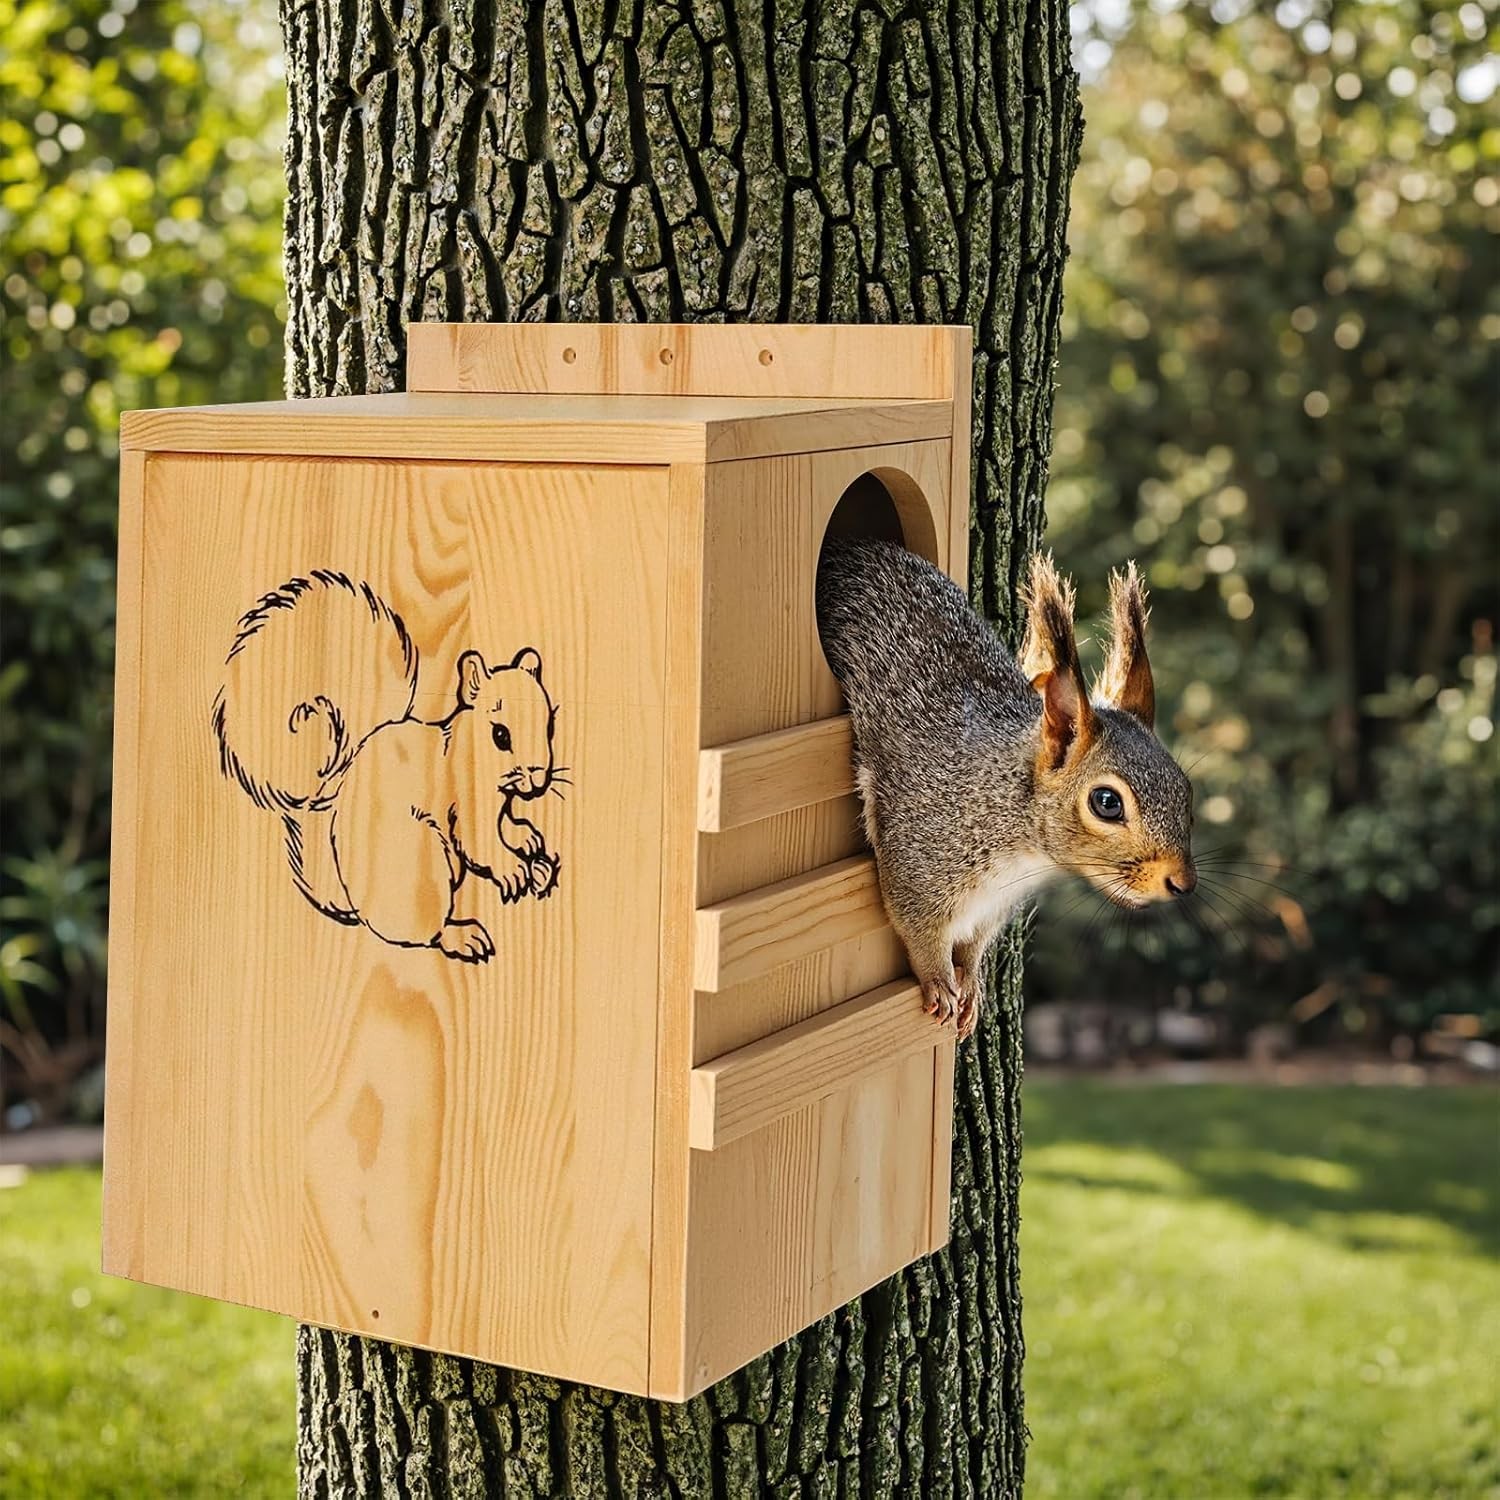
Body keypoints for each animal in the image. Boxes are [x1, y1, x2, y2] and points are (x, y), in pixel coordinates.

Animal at [211, 570, 561, 964]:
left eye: (550, 726)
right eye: (500, 734)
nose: (538, 779)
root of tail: (354, 903)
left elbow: (505, 825)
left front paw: (528, 840)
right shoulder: (465, 805)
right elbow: (479, 844)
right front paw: (513, 868)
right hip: (425, 862)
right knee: (425, 933)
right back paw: (463, 936)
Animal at [817, 540, 1195, 1038]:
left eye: (1186, 789)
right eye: (1107, 803)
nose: (1183, 882)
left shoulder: (993, 911)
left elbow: (973, 946)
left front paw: (973, 985)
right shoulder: (919, 857)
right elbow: (917, 928)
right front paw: (940, 982)